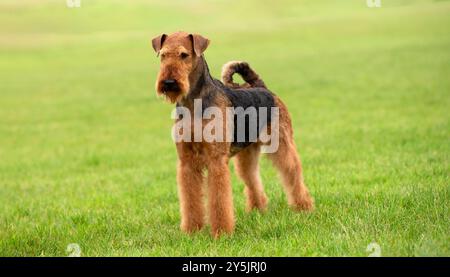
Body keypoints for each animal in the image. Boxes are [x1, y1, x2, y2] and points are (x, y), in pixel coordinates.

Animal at [151, 31, 312, 236]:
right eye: (163, 55)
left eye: (184, 55)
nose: (169, 82)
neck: (193, 103)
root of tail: (262, 87)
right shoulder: (187, 162)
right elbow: (190, 199)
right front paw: (192, 230)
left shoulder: (216, 161)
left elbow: (219, 200)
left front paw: (221, 232)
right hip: (247, 154)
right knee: (252, 178)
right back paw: (257, 209)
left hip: (282, 144)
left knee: (292, 173)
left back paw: (304, 207)